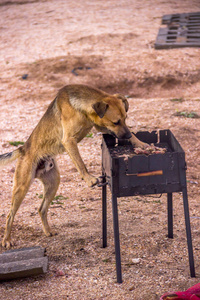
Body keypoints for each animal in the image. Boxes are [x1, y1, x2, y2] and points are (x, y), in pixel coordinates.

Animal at [0, 84, 147, 248]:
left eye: (125, 119)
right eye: (116, 122)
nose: (126, 137)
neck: (82, 110)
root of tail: (22, 149)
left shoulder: (101, 127)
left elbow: (133, 133)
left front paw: (141, 143)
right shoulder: (69, 140)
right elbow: (81, 163)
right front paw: (89, 179)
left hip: (53, 183)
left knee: (41, 209)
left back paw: (47, 231)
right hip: (22, 187)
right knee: (10, 215)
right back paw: (6, 240)